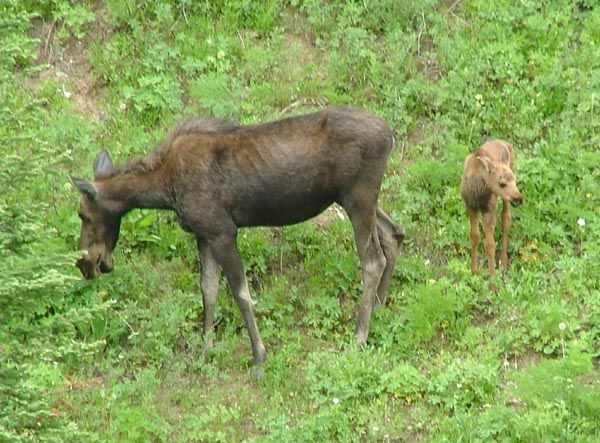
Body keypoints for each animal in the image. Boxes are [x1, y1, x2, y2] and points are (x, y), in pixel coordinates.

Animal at [72, 106, 406, 366]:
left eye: (84, 215)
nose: (85, 264)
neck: (164, 191)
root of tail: (390, 136)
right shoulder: (204, 234)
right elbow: (208, 289)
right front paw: (205, 348)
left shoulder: (222, 231)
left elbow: (241, 292)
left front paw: (259, 355)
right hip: (357, 200)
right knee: (394, 234)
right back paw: (378, 309)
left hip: (357, 198)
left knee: (372, 259)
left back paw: (359, 336)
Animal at [462, 140, 524, 276]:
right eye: (502, 184)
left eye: (515, 180)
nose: (519, 199)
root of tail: (506, 143)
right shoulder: (471, 207)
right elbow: (474, 236)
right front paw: (474, 271)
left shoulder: (490, 209)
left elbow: (489, 244)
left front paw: (493, 278)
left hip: (505, 197)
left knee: (506, 218)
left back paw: (503, 261)